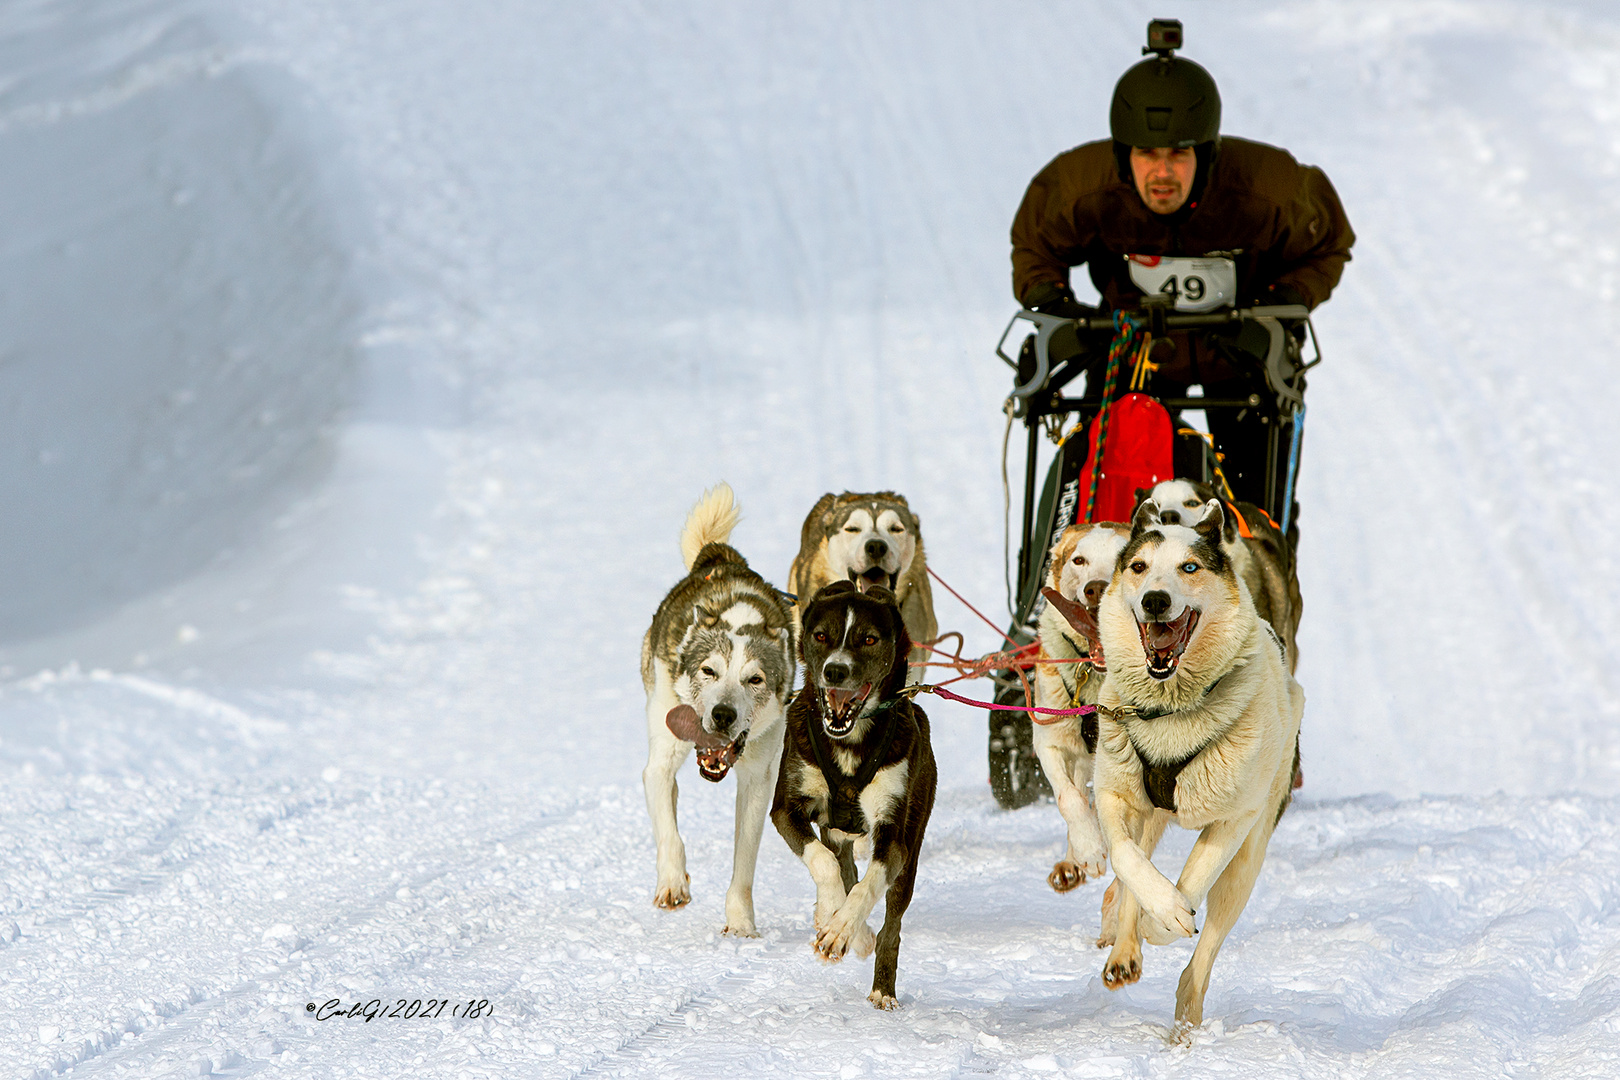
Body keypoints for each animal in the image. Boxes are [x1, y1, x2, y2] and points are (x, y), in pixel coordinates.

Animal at [771, 582, 939, 1016]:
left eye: (868, 638)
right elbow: (825, 865)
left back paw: (881, 984)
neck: (849, 744)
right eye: (820, 636)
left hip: (912, 848)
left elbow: (868, 886)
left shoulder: (893, 836)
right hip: (835, 830)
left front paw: (841, 930)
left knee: (891, 924)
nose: (835, 671)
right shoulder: (786, 810)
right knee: (840, 864)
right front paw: (836, 919)